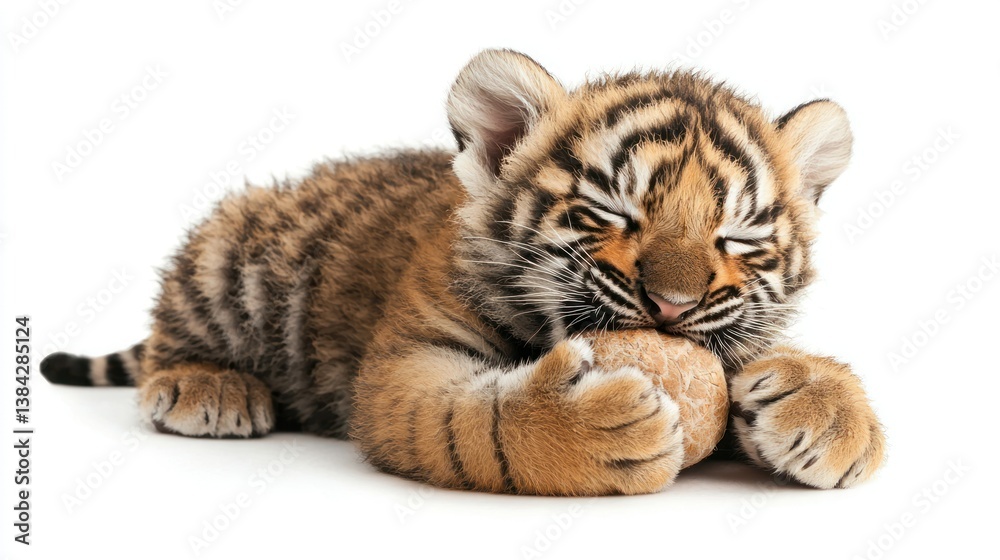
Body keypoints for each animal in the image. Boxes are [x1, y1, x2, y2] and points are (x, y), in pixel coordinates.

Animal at [40, 49, 885, 496]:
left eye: (736, 237)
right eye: (611, 213)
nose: (672, 307)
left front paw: (831, 410)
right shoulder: (407, 364)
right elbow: (474, 424)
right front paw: (596, 426)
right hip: (231, 255)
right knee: (168, 334)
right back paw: (208, 388)